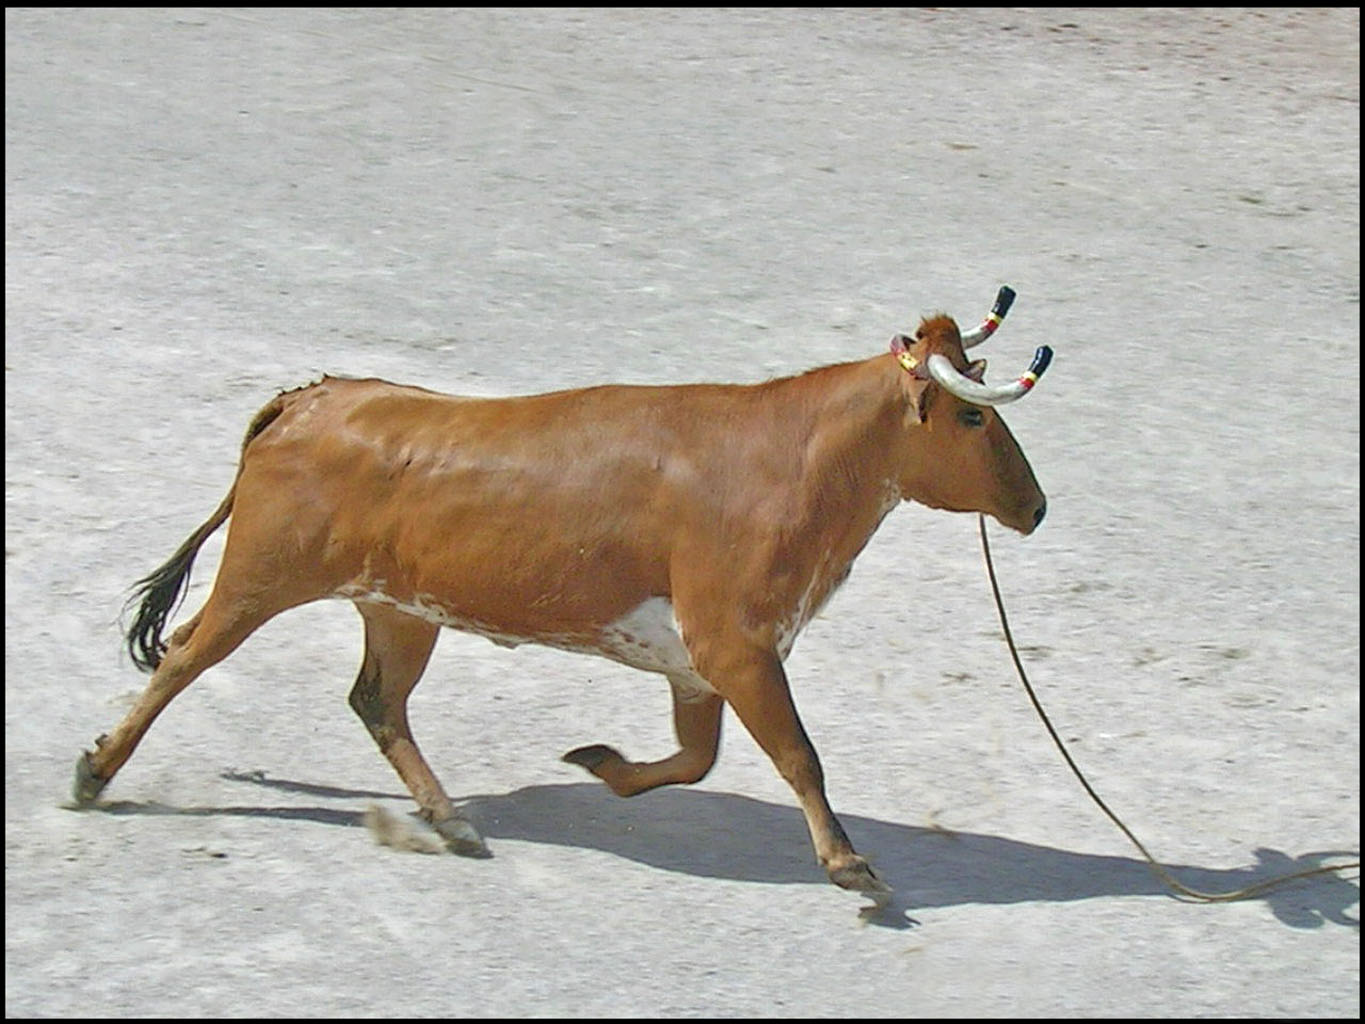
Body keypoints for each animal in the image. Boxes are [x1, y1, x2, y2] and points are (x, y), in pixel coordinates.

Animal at [74, 285, 1048, 901]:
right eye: (972, 415)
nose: (1035, 506)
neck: (794, 459)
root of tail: (312, 397)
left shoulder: (701, 664)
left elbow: (695, 758)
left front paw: (602, 765)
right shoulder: (737, 645)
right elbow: (798, 756)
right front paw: (850, 866)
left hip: (399, 609)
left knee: (377, 700)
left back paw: (450, 820)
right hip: (262, 577)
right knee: (184, 658)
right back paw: (94, 772)